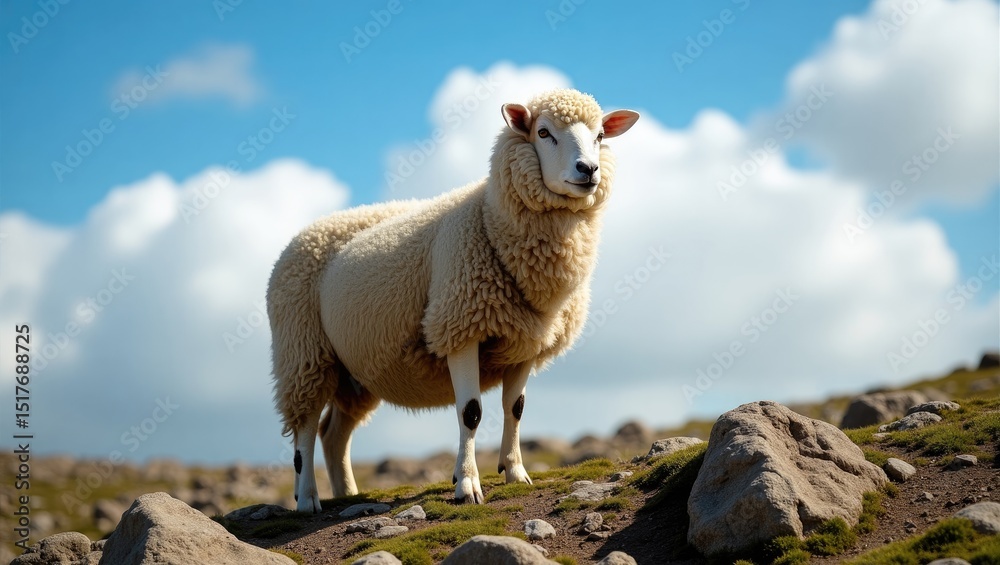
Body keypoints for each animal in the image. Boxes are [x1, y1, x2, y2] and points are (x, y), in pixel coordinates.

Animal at [267, 88, 639, 511]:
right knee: (305, 429)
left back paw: (347, 494)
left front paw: (516, 473)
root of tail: (304, 234)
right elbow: (471, 412)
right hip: (303, 353)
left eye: (599, 136)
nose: (588, 170)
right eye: (543, 132)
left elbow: (515, 410)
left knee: (333, 433)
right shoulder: (460, 327)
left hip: (355, 371)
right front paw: (467, 485)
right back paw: (307, 499)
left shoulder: (526, 342)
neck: (490, 219)